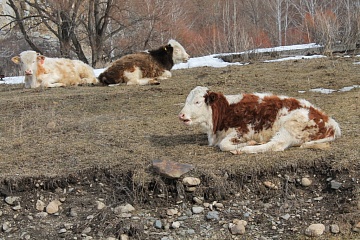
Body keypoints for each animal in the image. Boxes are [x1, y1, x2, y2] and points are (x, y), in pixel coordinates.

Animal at [179, 86, 342, 154]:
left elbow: (223, 145)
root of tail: (330, 121)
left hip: (291, 126)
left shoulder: (243, 130)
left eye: (197, 102)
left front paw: (245, 144)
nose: (181, 115)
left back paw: (246, 149)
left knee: (275, 145)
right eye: (186, 100)